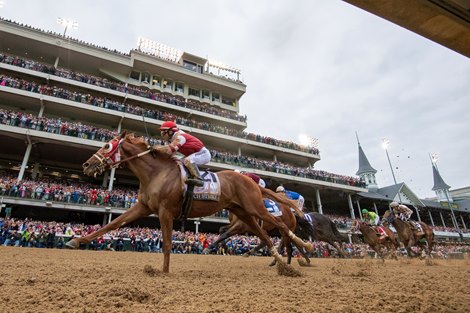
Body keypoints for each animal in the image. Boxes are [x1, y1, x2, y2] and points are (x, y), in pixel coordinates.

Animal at [66, 133, 312, 274]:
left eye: (107, 146)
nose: (87, 164)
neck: (157, 173)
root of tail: (250, 181)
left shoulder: (165, 211)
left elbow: (166, 242)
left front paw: (163, 271)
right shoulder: (143, 207)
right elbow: (112, 224)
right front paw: (76, 241)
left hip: (254, 208)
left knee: (280, 228)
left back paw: (304, 249)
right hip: (243, 214)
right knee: (265, 237)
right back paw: (282, 264)